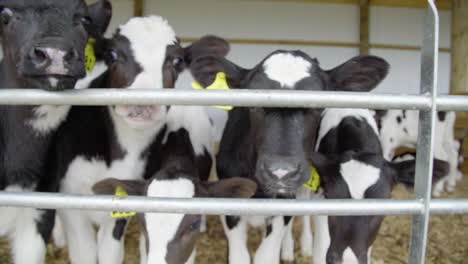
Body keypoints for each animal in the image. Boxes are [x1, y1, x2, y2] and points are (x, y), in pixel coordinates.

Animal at [53, 16, 229, 264]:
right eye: (112, 54)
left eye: (177, 60)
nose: (143, 102)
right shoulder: (71, 203)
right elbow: (83, 254)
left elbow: (110, 254)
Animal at [188, 50, 390, 262]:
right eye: (253, 104)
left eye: (318, 106)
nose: (281, 172)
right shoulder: (230, 204)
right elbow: (239, 257)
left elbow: (266, 255)